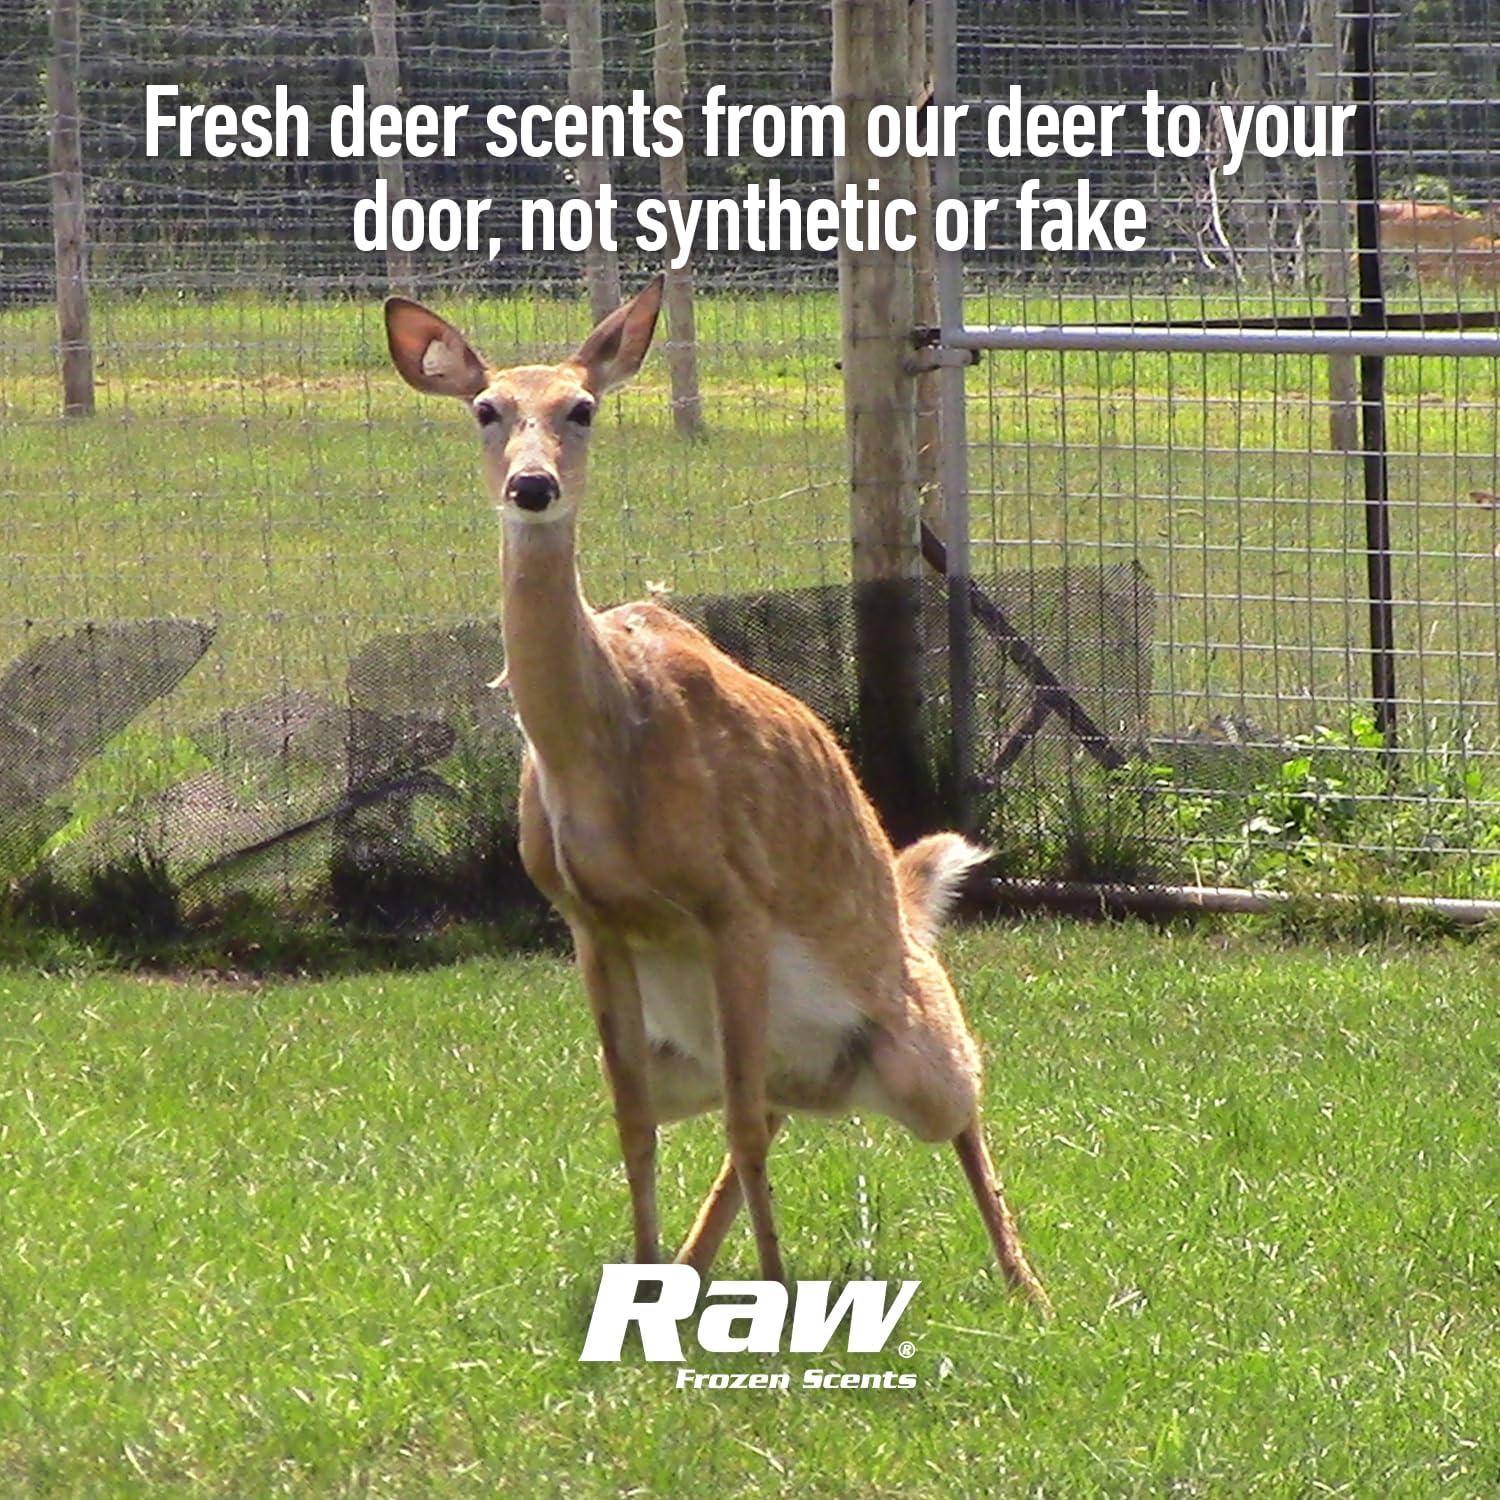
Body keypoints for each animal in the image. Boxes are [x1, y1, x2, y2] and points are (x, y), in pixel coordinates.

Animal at [383, 277, 1051, 1315]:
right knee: (764, 1107)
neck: (602, 755)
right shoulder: (588, 921)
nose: (532, 487)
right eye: (486, 409)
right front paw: (649, 1272)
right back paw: (687, 1275)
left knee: (956, 1098)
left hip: (910, 1044)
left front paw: (774, 1296)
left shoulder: (733, 896)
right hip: (708, 1054)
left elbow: (737, 1120)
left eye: (582, 408)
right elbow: (632, 1123)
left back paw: (1028, 1287)